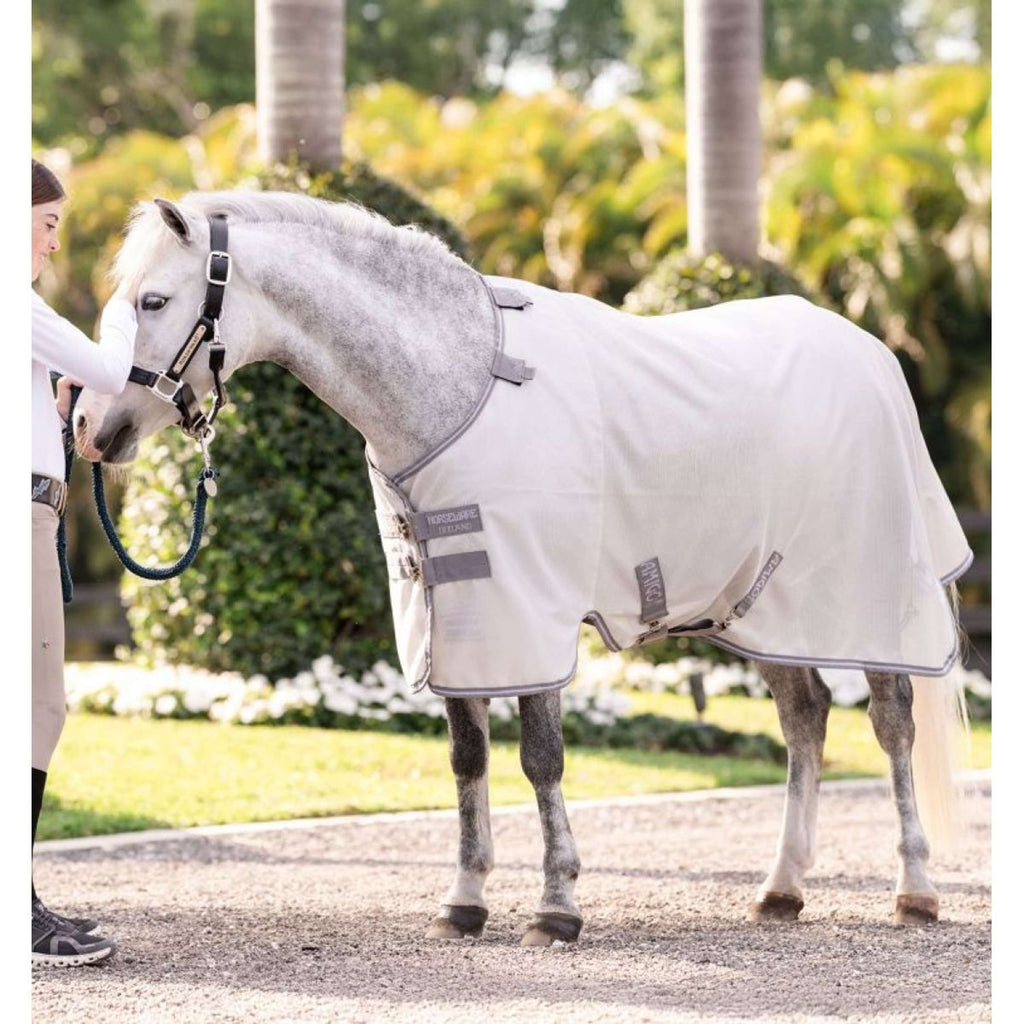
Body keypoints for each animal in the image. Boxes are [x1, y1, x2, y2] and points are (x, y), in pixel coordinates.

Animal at [75, 190, 970, 945]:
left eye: (154, 301)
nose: (88, 426)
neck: (459, 381)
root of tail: (872, 353)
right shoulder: (456, 612)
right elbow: (468, 761)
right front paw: (465, 902)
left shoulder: (528, 607)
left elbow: (541, 757)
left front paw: (557, 905)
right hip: (759, 609)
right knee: (804, 718)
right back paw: (781, 889)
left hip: (868, 598)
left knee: (891, 724)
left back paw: (915, 890)